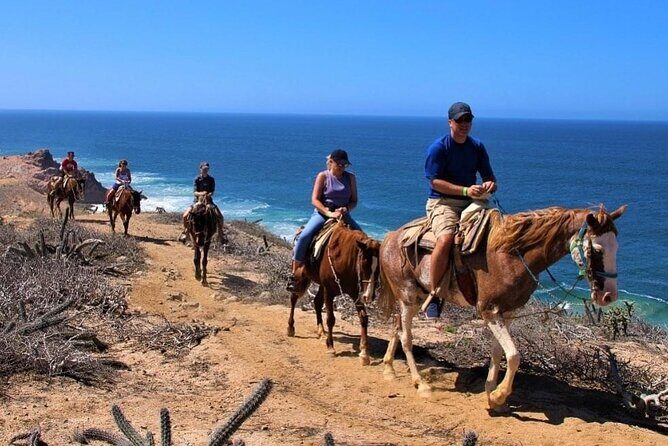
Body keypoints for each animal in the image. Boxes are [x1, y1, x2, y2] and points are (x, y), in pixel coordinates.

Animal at [287, 220, 381, 364]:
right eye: (364, 263)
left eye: (379, 267)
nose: (369, 296)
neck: (343, 258)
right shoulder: (329, 291)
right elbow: (331, 319)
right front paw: (331, 348)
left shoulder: (356, 293)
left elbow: (363, 318)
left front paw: (364, 354)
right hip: (300, 276)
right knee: (293, 298)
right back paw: (291, 328)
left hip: (320, 284)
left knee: (317, 302)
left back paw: (321, 332)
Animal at [378, 204, 626, 409]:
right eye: (597, 250)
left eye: (617, 248)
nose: (609, 296)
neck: (511, 254)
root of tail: (391, 238)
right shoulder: (489, 311)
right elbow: (514, 355)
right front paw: (498, 396)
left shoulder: (508, 313)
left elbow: (499, 352)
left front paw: (491, 392)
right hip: (408, 297)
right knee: (407, 337)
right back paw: (421, 384)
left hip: (414, 297)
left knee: (397, 328)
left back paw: (389, 368)